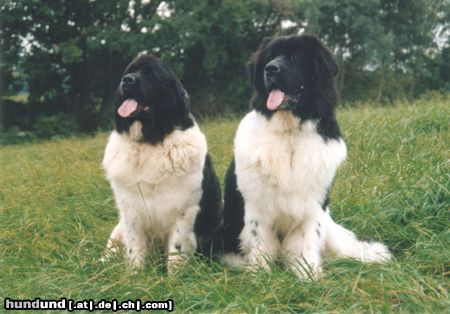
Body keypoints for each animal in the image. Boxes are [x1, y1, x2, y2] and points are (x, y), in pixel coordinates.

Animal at [102, 54, 221, 272]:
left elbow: (176, 249)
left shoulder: (184, 211)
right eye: (128, 72)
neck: (150, 142)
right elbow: (134, 249)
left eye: (151, 76)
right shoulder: (131, 213)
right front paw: (135, 275)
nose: (126, 81)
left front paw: (175, 277)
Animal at [218, 35, 390, 278]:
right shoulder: (256, 205)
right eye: (269, 58)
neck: (290, 132)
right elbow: (259, 242)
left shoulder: (312, 204)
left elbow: (306, 241)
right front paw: (260, 275)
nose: (271, 69)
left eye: (295, 57)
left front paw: (308, 276)